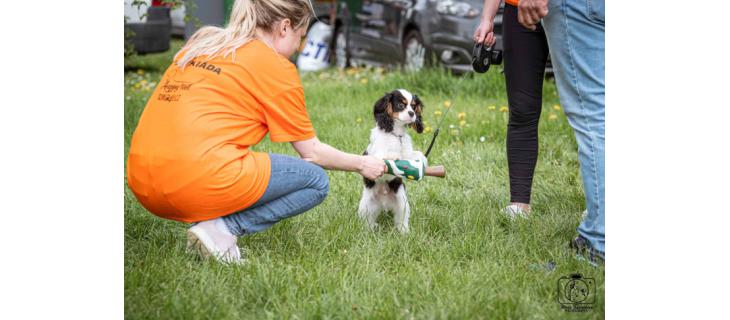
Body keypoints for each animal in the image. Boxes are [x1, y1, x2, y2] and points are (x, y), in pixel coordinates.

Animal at [356, 89, 424, 234]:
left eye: (413, 106)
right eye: (400, 105)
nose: (412, 113)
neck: (396, 135)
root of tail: (384, 202)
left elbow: (412, 155)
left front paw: (420, 157)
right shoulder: (376, 158)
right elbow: (387, 159)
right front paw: (394, 157)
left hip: (402, 202)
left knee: (401, 220)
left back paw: (404, 233)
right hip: (366, 205)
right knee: (368, 220)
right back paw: (369, 229)